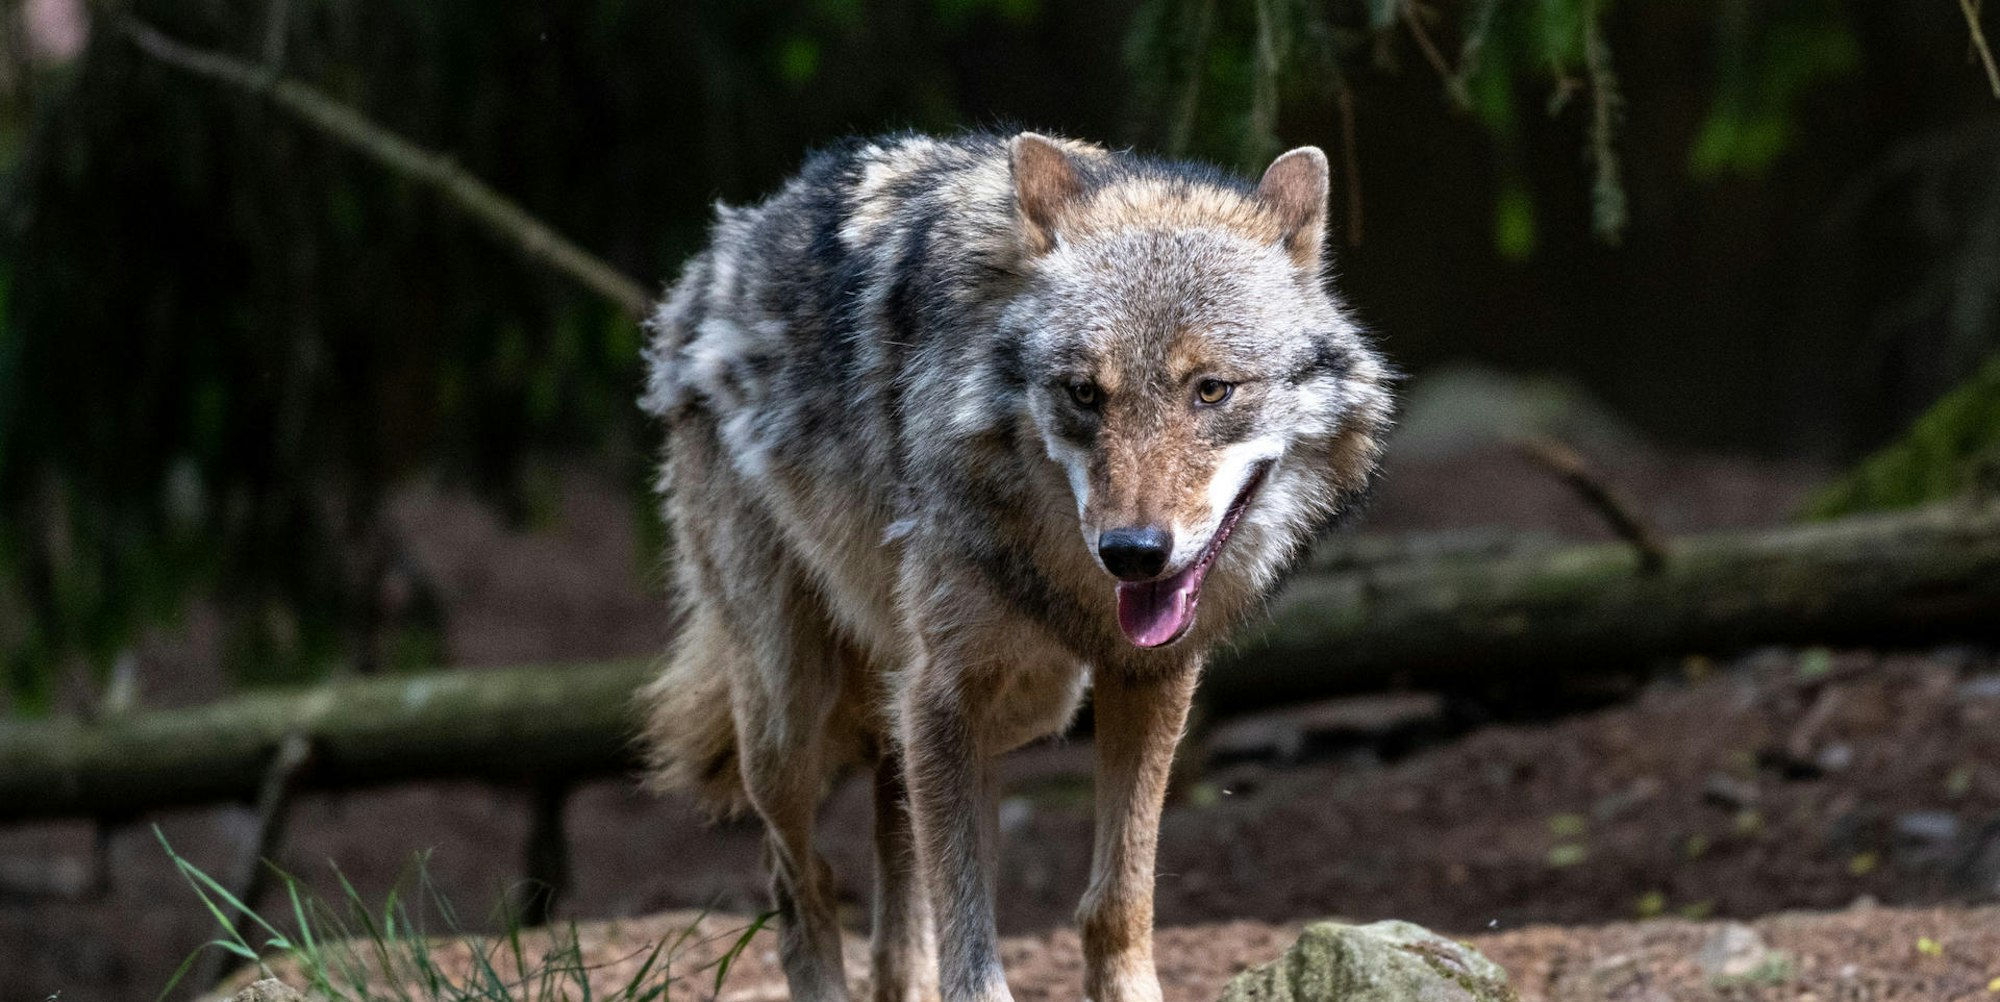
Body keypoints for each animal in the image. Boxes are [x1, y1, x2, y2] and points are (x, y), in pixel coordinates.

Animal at [638, 131, 1392, 1002]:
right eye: (1083, 393)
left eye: (1212, 390)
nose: (1134, 553)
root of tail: (708, 266)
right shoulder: (944, 695)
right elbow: (971, 943)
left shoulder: (1150, 676)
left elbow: (1118, 901)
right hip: (791, 716)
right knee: (802, 888)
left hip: (1014, 702)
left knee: (893, 869)